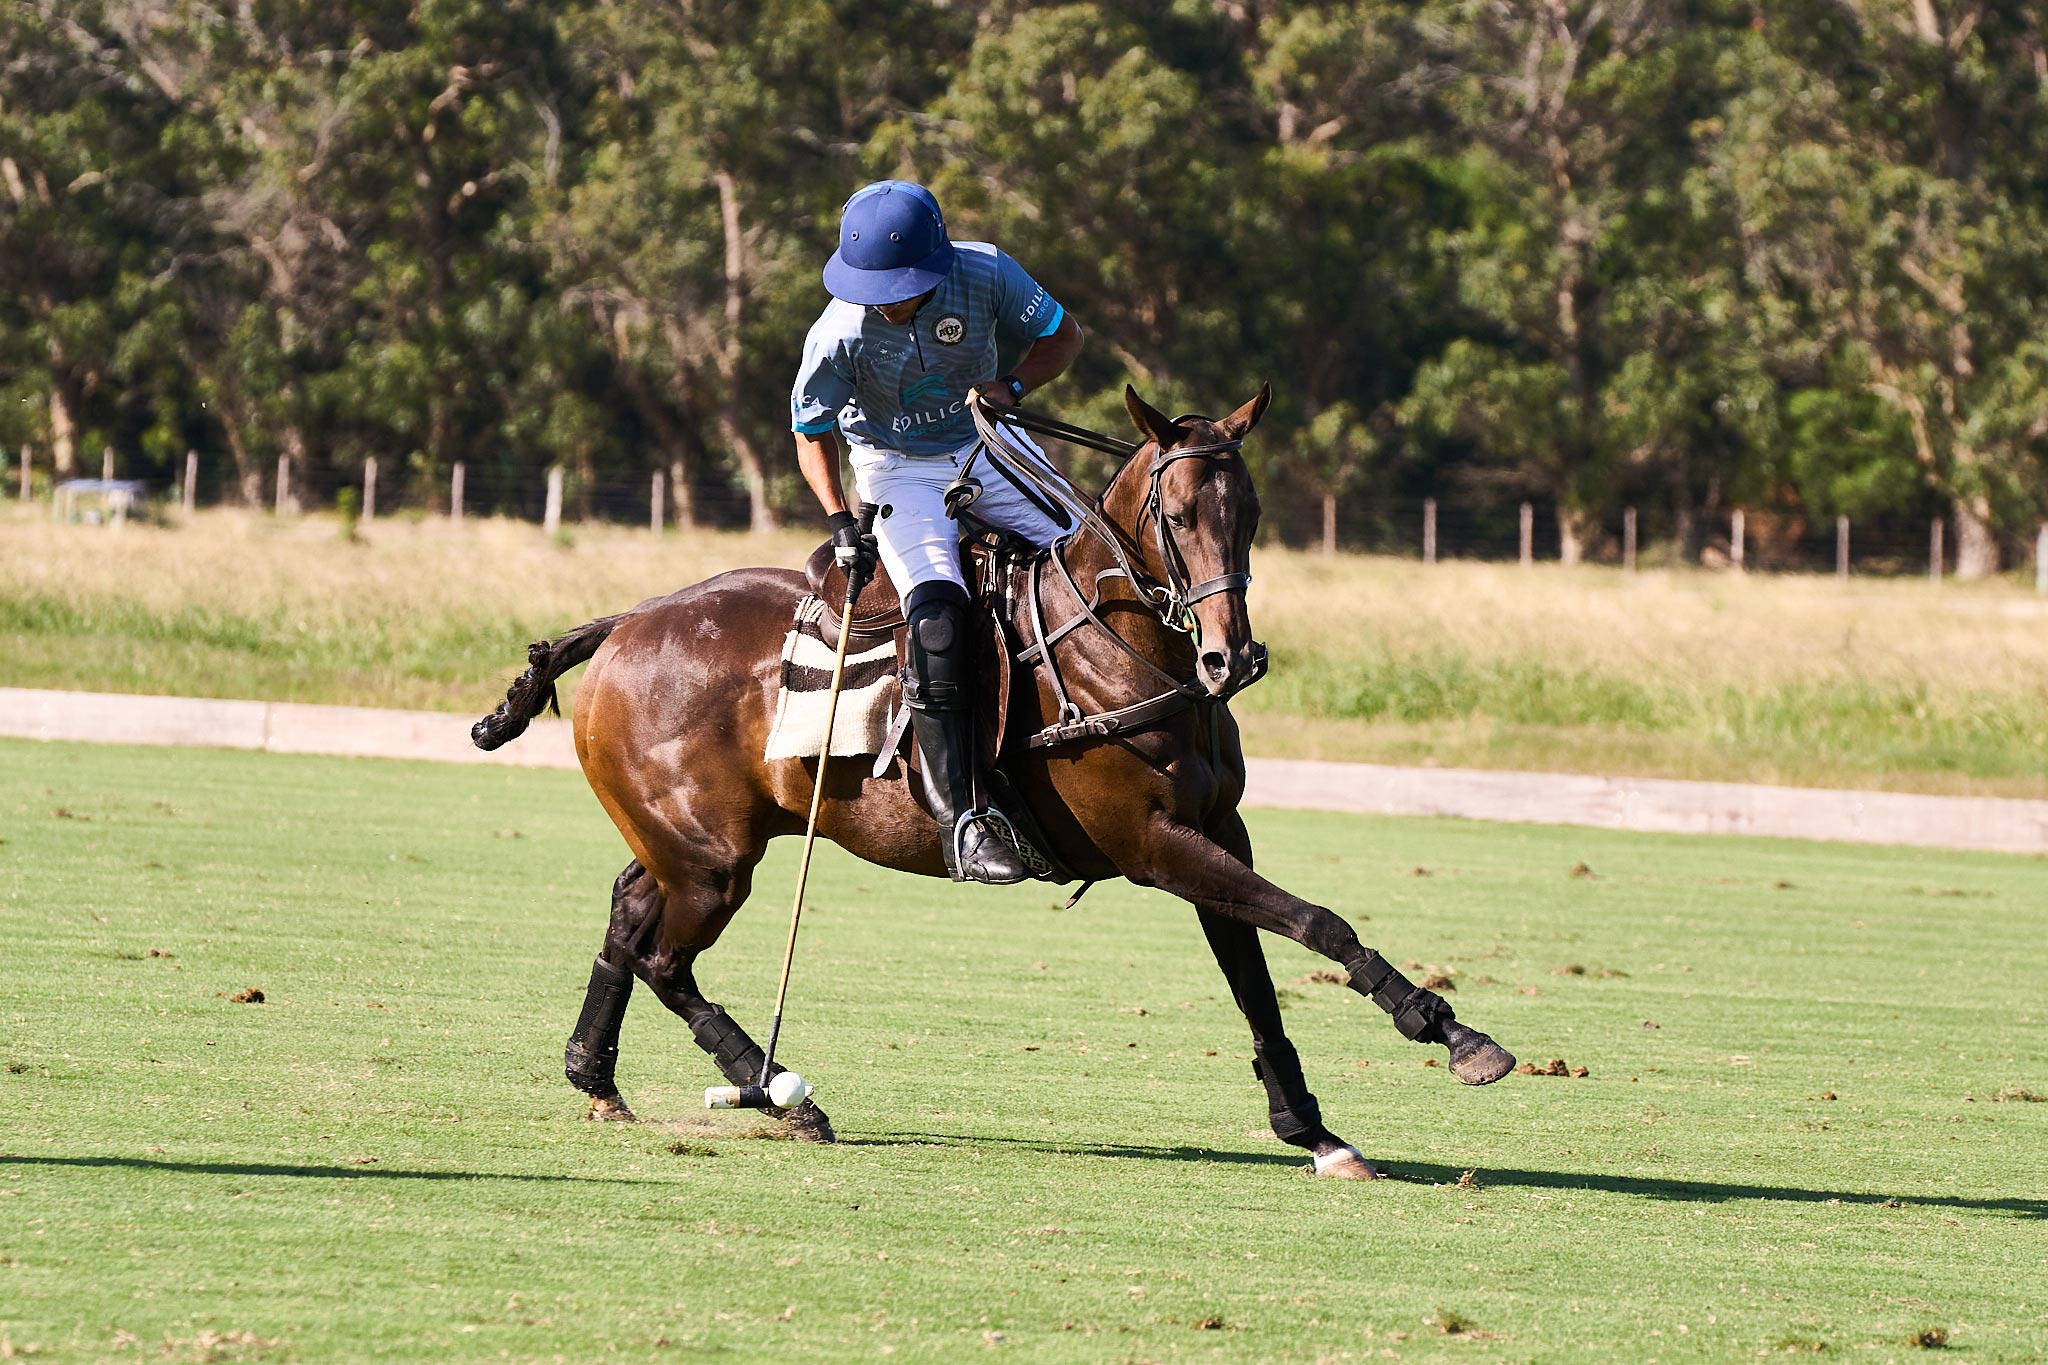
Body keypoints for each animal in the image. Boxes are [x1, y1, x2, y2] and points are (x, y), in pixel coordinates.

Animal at [471, 386, 1515, 1186]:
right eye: (1177, 517)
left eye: (1251, 511)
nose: (1233, 658)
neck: (1122, 644)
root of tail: (624, 623)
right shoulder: (1154, 845)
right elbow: (1314, 921)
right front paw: (1452, 1032)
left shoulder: (1220, 831)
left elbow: (1257, 977)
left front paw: (1318, 1129)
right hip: (713, 861)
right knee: (663, 958)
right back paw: (780, 1092)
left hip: (696, 839)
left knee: (625, 909)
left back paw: (596, 1077)